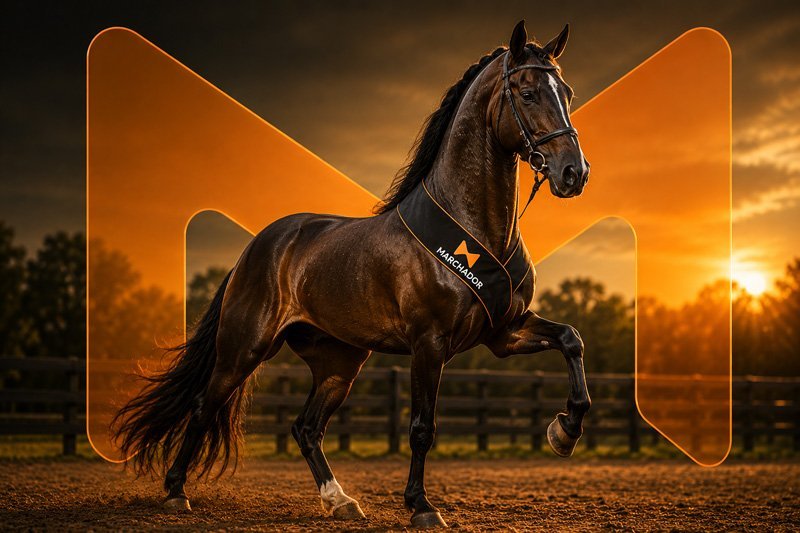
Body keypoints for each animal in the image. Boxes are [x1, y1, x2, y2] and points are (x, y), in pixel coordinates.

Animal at [112, 20, 591, 529]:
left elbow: (571, 339)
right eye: (527, 92)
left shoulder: (503, 333)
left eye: (566, 92)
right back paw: (175, 492)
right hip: (245, 348)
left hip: (338, 363)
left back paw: (340, 500)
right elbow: (422, 427)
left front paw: (564, 431)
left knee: (306, 427)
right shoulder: (429, 343)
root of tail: (257, 247)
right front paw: (421, 506)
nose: (574, 173)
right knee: (205, 406)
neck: (473, 227)